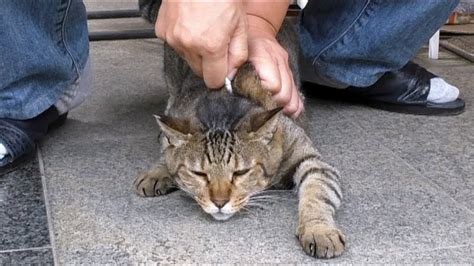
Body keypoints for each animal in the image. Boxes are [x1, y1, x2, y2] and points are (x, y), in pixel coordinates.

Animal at [135, 0, 346, 258]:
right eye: (200, 174)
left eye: (240, 172)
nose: (219, 202)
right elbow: (167, 150)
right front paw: (159, 170)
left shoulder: (312, 161)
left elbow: (318, 193)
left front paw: (319, 229)